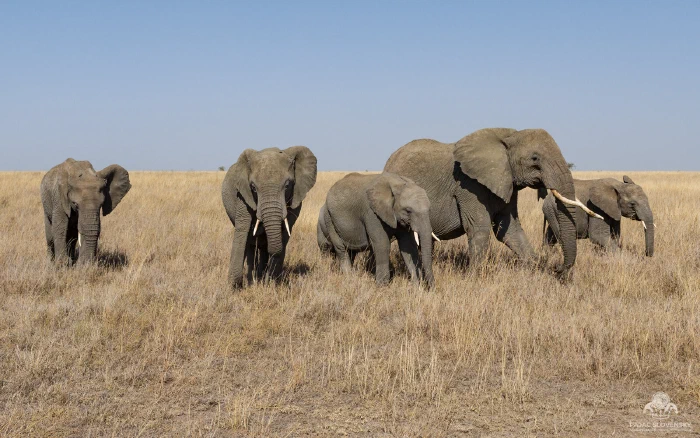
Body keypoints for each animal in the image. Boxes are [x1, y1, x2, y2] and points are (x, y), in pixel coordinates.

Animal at [222, 146, 317, 288]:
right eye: (253, 187)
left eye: (287, 185)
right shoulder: (243, 195)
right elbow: (243, 230)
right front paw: (235, 285)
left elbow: (284, 233)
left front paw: (270, 283)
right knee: (251, 243)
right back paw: (253, 278)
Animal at [384, 128, 601, 277]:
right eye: (534, 158)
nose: (558, 268)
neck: (509, 136)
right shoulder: (468, 185)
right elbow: (479, 228)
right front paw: (474, 279)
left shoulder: (507, 181)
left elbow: (509, 230)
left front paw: (533, 268)